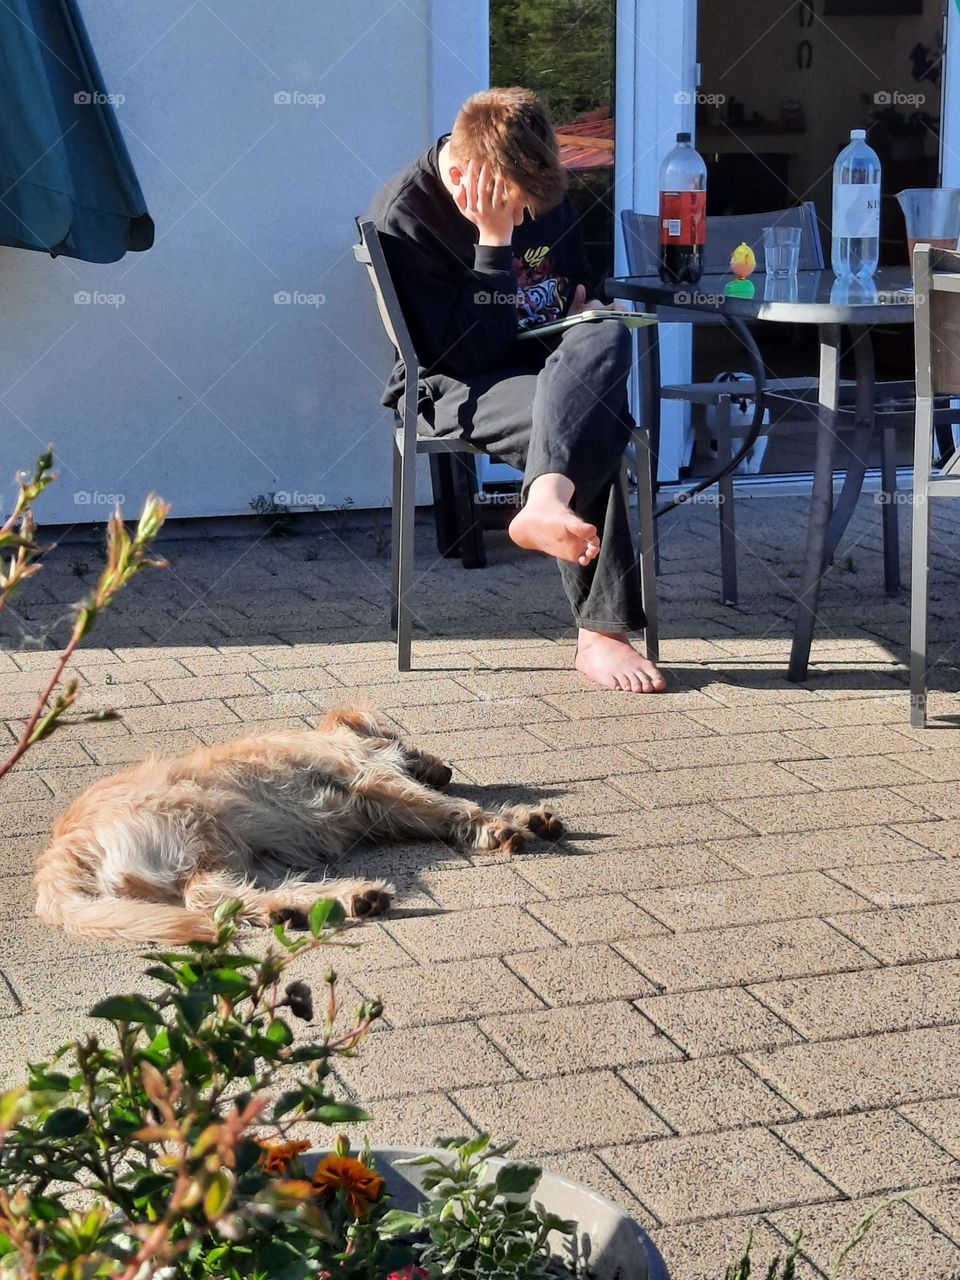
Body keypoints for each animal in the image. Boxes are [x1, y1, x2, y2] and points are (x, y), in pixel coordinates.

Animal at [33, 706, 568, 947]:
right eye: (401, 735)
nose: (449, 768)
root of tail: (60, 854)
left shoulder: (383, 810)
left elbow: (440, 810)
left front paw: (523, 816)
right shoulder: (374, 781)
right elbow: (451, 805)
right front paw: (504, 825)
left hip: (239, 852)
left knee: (234, 898)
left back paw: (316, 904)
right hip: (200, 821)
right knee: (207, 898)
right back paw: (343, 898)